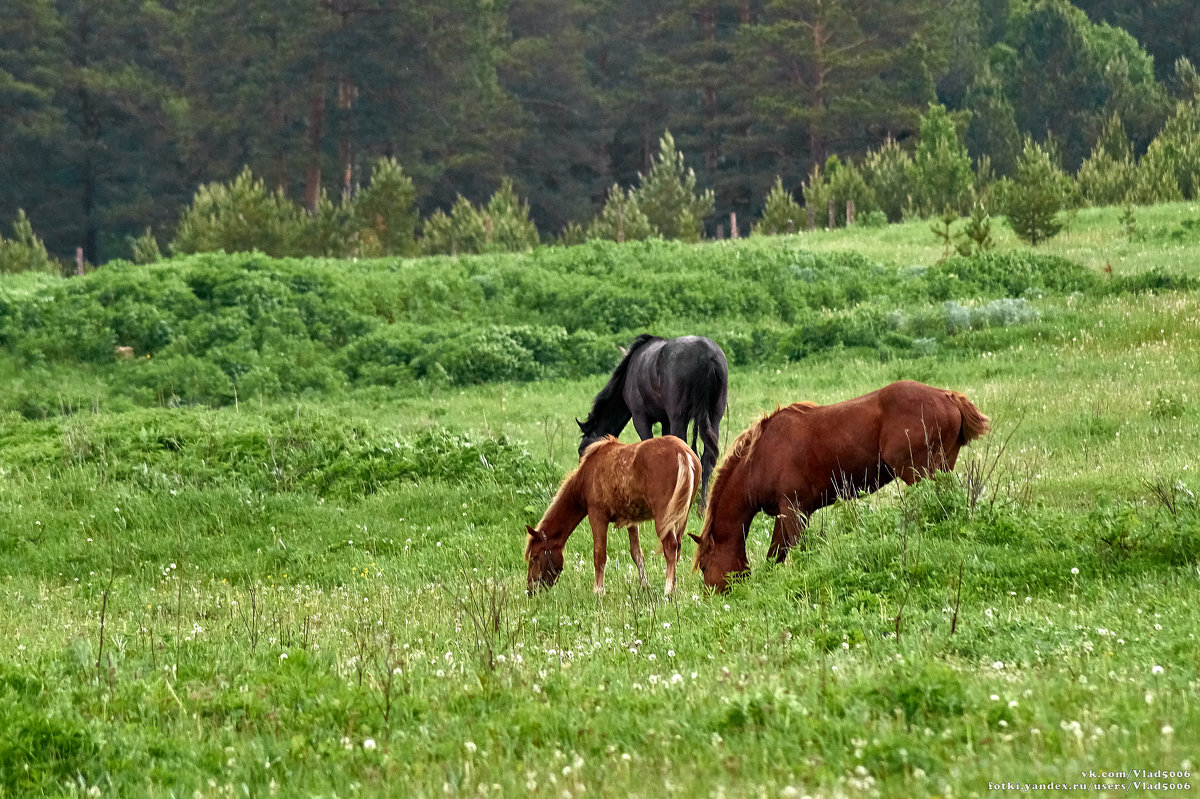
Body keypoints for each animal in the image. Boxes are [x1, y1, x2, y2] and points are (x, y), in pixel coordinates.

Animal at [528, 431, 700, 595]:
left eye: (534, 556)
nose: (530, 590)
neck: (586, 476)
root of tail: (683, 454)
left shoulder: (597, 516)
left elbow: (599, 555)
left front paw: (598, 591)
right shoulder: (632, 520)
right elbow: (637, 554)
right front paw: (644, 586)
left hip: (663, 519)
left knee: (670, 548)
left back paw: (668, 591)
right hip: (681, 517)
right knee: (677, 548)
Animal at [576, 333, 724, 506]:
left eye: (582, 450)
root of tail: (706, 354)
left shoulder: (640, 419)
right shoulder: (665, 421)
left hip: (679, 419)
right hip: (714, 418)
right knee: (707, 459)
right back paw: (702, 505)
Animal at [691, 379, 988, 590]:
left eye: (704, 566)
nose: (711, 598)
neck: (760, 458)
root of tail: (947, 396)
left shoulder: (793, 509)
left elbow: (792, 549)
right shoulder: (786, 513)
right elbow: (776, 553)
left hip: (921, 473)